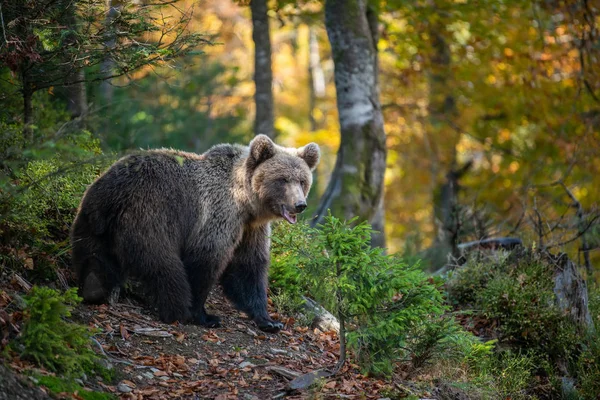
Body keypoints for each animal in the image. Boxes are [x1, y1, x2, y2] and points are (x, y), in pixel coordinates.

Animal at [71, 136, 318, 332]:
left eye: (302, 180)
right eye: (282, 179)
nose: (300, 204)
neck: (246, 202)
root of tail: (115, 195)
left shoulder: (250, 228)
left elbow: (248, 267)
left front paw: (269, 321)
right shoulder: (218, 216)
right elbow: (205, 262)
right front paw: (204, 315)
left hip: (92, 219)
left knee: (94, 255)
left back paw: (93, 287)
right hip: (150, 216)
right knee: (164, 266)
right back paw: (176, 310)